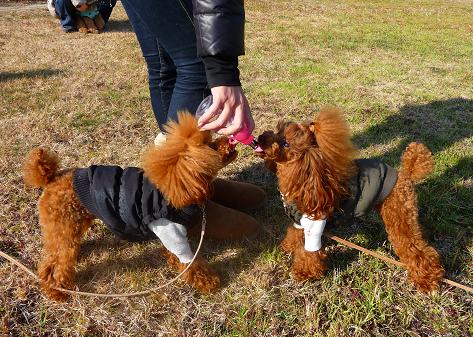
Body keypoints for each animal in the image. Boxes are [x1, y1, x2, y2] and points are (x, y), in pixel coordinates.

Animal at [254, 105, 442, 292]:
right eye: (278, 130)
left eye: (286, 143)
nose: (260, 138)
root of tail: (405, 174)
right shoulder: (299, 221)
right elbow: (294, 234)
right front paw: (287, 247)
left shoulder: (314, 224)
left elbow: (310, 252)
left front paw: (304, 273)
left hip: (398, 215)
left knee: (415, 249)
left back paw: (427, 279)